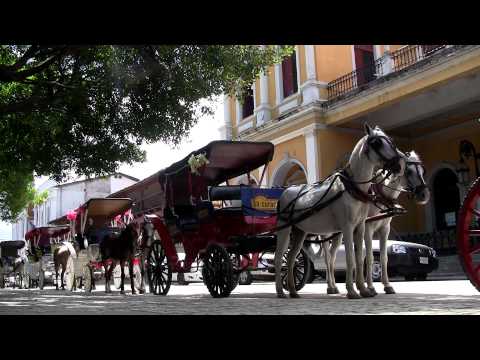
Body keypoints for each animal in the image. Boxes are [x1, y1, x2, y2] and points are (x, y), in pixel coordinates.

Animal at [276, 125, 404, 300]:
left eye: (390, 140)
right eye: (377, 143)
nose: (398, 165)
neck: (352, 188)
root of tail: (285, 191)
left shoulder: (360, 226)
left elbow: (359, 258)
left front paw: (363, 289)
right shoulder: (347, 227)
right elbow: (350, 258)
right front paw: (352, 290)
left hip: (300, 232)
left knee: (290, 258)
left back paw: (293, 290)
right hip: (284, 229)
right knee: (278, 257)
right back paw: (280, 291)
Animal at [324, 152, 430, 296]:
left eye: (422, 171)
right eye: (409, 171)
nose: (424, 195)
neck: (380, 196)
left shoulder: (385, 229)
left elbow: (383, 258)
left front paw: (387, 285)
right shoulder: (368, 228)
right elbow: (369, 257)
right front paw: (370, 287)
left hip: (338, 233)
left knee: (332, 257)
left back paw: (334, 286)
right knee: (327, 257)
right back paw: (330, 286)